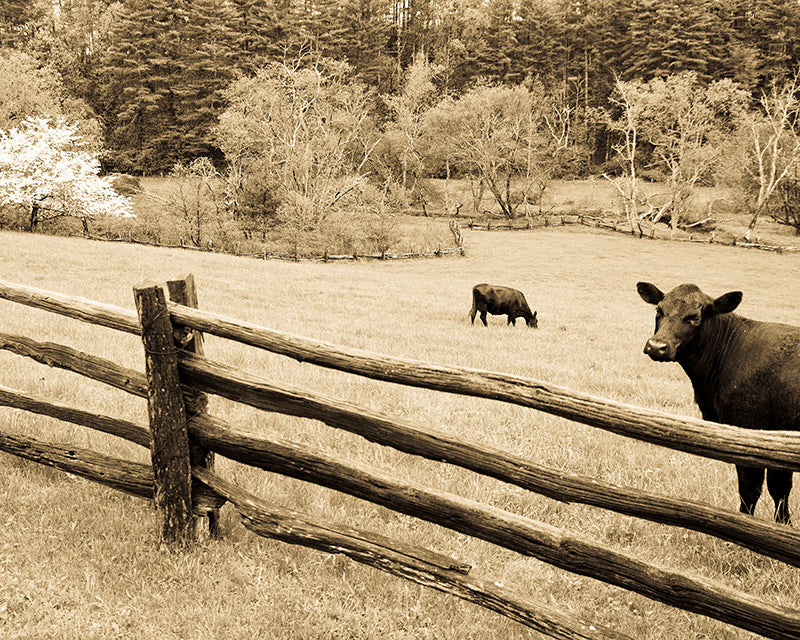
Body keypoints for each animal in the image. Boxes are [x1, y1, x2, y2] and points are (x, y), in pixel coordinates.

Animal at [636, 282, 800, 524]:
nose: (657, 346)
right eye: (659, 310)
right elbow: (780, 491)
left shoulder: (751, 431)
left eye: (695, 317)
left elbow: (753, 490)